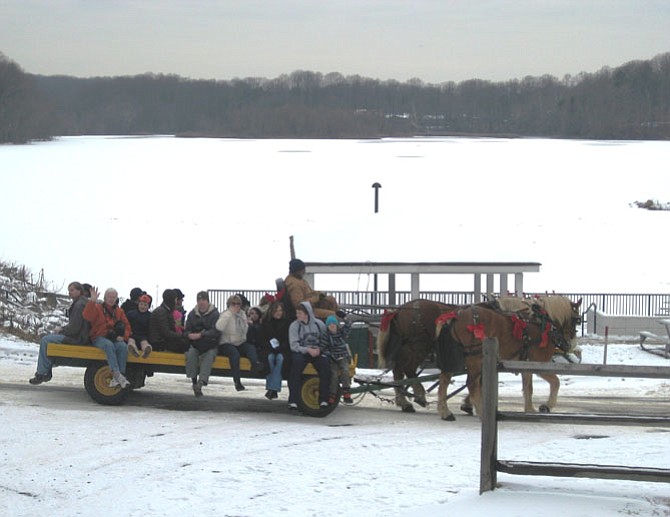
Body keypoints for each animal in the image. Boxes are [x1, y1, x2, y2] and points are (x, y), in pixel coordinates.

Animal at [436, 300, 576, 422]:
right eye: (577, 320)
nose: (569, 345)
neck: (543, 324)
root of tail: (455, 315)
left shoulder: (525, 364)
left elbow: (528, 388)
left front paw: (529, 409)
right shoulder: (539, 363)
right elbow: (555, 382)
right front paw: (546, 406)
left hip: (454, 356)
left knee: (444, 381)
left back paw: (445, 412)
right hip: (475, 358)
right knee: (472, 384)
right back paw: (482, 413)